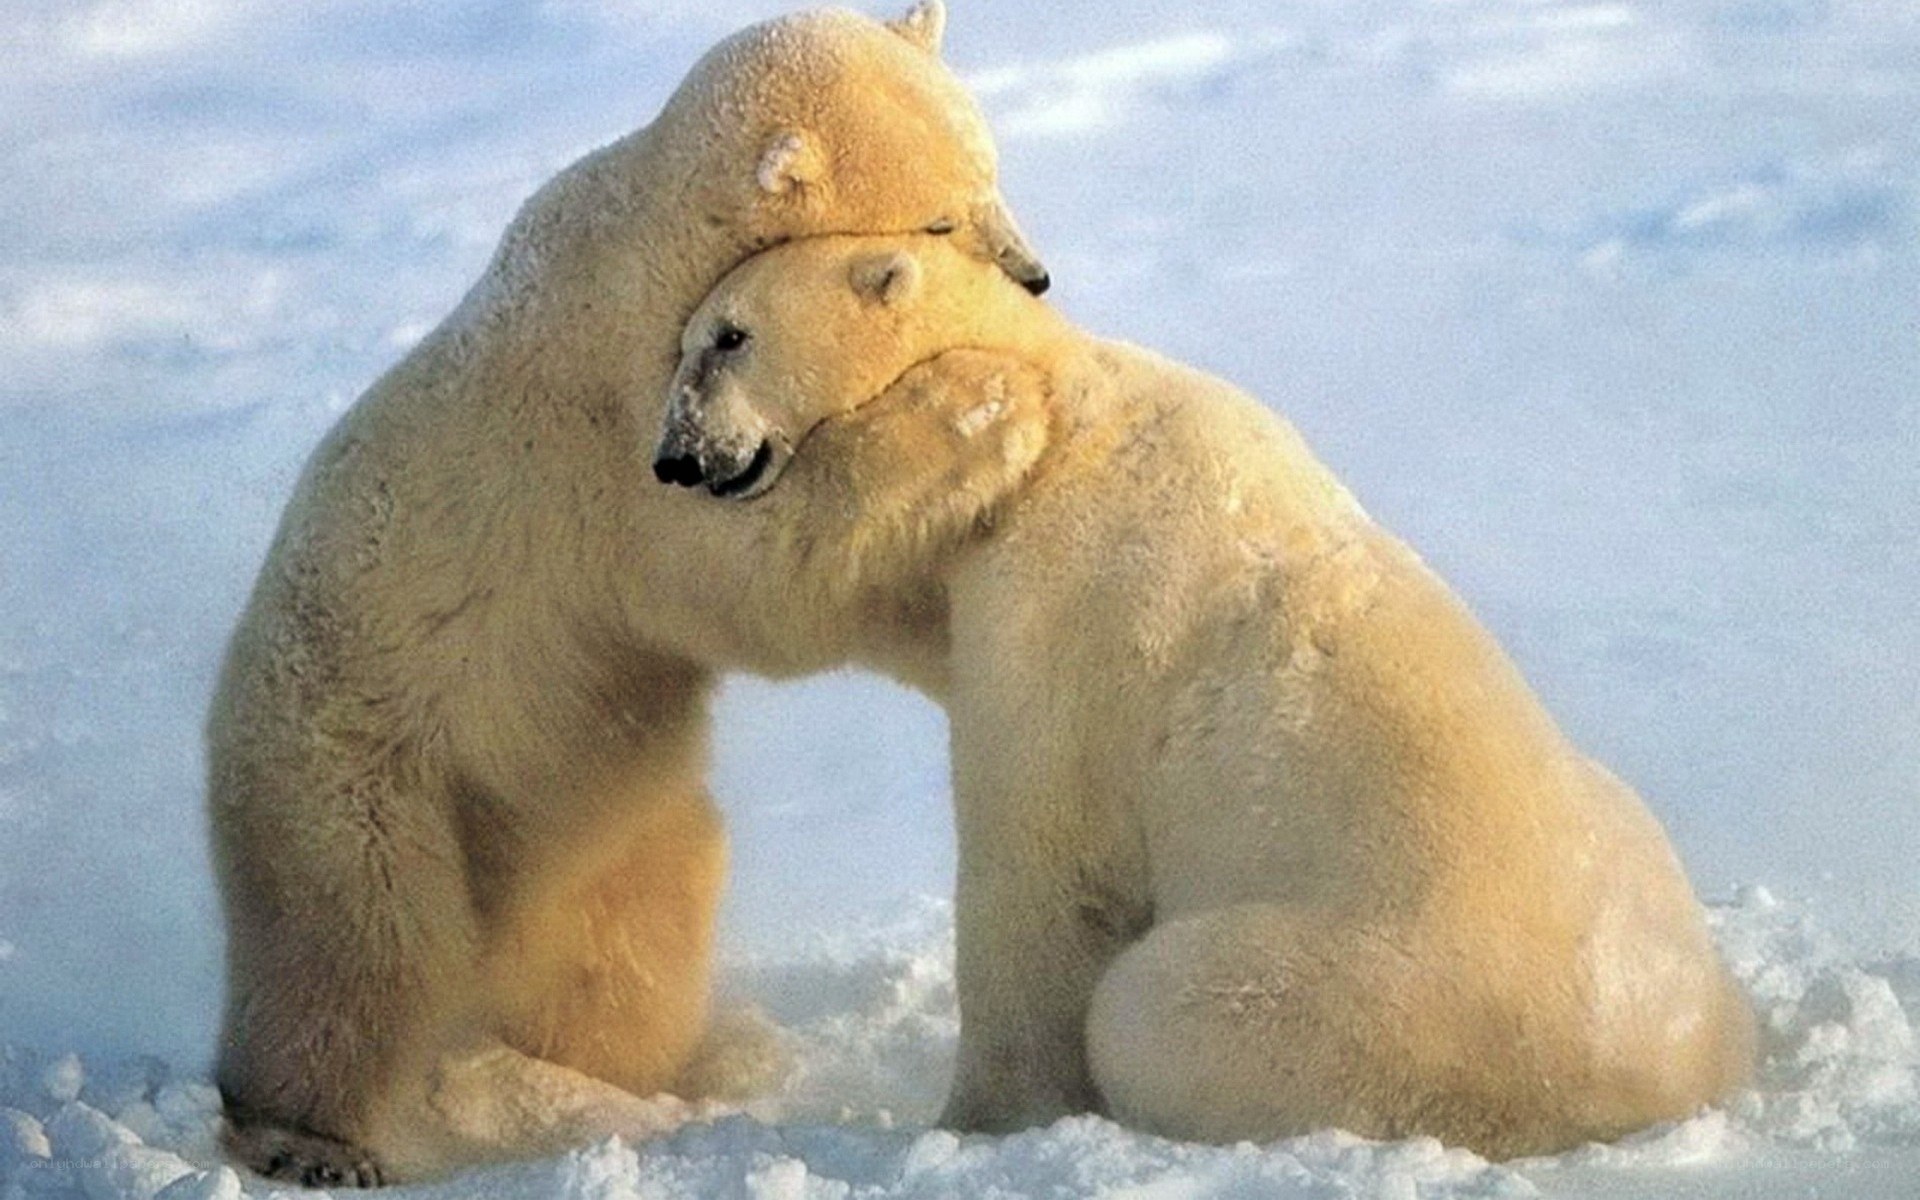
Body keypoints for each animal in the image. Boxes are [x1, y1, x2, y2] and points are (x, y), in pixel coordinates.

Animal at [206, 2, 1051, 1185]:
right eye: (936, 215)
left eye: (990, 169)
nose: (1034, 277)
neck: (646, 247)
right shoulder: (612, 440)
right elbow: (753, 568)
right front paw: (980, 409)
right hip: (354, 774)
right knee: (358, 950)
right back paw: (311, 1138)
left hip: (604, 818)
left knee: (631, 937)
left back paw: (663, 1070)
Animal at [655, 232, 1758, 1159]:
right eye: (693, 338)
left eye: (730, 336)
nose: (675, 457)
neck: (1073, 414)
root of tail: (1645, 1082)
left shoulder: (1065, 611)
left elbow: (1040, 868)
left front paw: (977, 1121)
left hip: (1368, 999)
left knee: (1152, 1007)